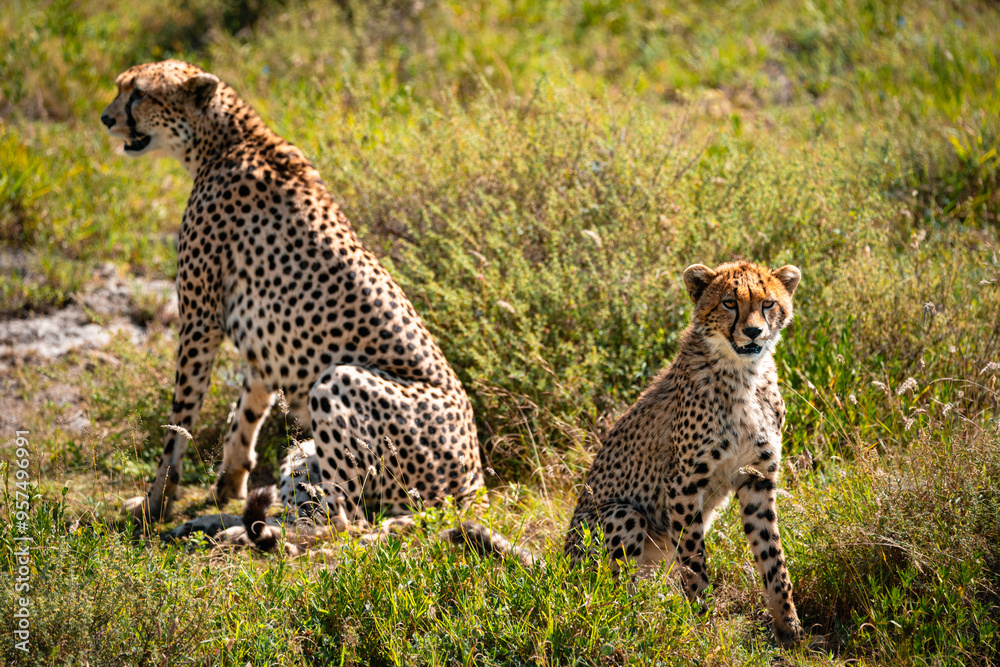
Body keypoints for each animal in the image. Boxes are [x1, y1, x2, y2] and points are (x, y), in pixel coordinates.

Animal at [101, 60, 485, 535]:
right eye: (122, 87)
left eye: (138, 93)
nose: (107, 119)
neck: (227, 139)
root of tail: (473, 485)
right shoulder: (264, 345)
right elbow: (244, 416)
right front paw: (229, 484)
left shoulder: (199, 321)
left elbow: (179, 426)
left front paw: (155, 504)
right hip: (309, 451)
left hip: (341, 380)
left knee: (346, 522)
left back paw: (240, 531)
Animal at [563, 260, 804, 645]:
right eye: (729, 303)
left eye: (768, 303)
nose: (753, 332)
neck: (744, 375)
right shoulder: (682, 485)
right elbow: (694, 561)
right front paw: (702, 624)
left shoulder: (757, 478)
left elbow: (773, 558)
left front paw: (790, 629)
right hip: (621, 515)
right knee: (613, 594)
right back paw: (635, 621)